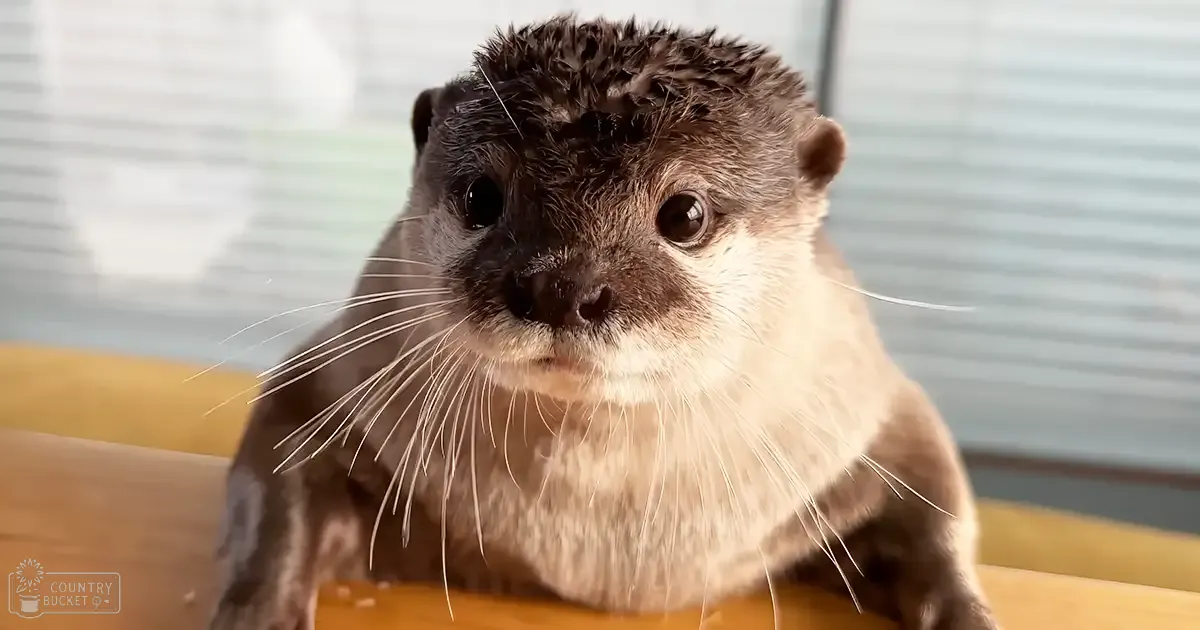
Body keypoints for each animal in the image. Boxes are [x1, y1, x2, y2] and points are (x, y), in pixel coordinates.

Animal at [207, 15, 1000, 630]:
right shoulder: (331, 375)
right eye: (480, 195)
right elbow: (275, 477)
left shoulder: (876, 411)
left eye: (685, 214)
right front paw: (259, 608)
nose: (561, 287)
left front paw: (967, 611)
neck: (598, 551)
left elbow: (939, 507)